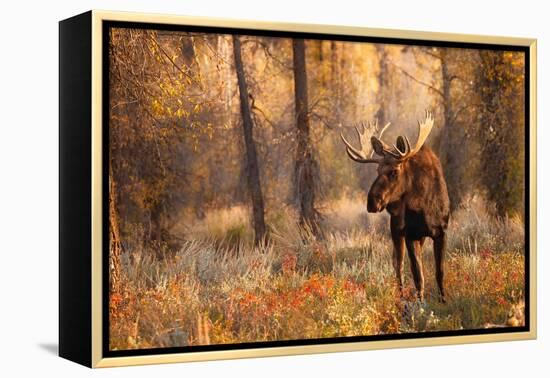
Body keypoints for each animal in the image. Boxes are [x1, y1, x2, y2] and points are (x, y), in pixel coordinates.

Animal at [340, 110, 452, 302]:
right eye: (377, 171)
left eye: (393, 171)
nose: (372, 202)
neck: (424, 207)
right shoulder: (410, 234)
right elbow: (417, 275)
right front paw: (420, 302)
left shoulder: (441, 231)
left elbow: (439, 272)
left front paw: (443, 300)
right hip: (396, 230)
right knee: (398, 265)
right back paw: (400, 296)